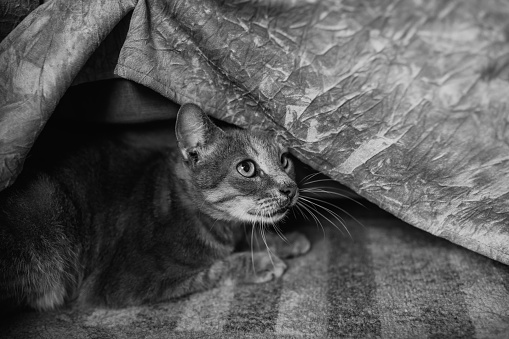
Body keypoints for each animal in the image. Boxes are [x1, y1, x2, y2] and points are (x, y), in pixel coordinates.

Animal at [0, 104, 310, 314]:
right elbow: (214, 269)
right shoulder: (126, 282)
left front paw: (283, 241)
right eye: (246, 168)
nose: (290, 189)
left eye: (284, 161)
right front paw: (262, 261)